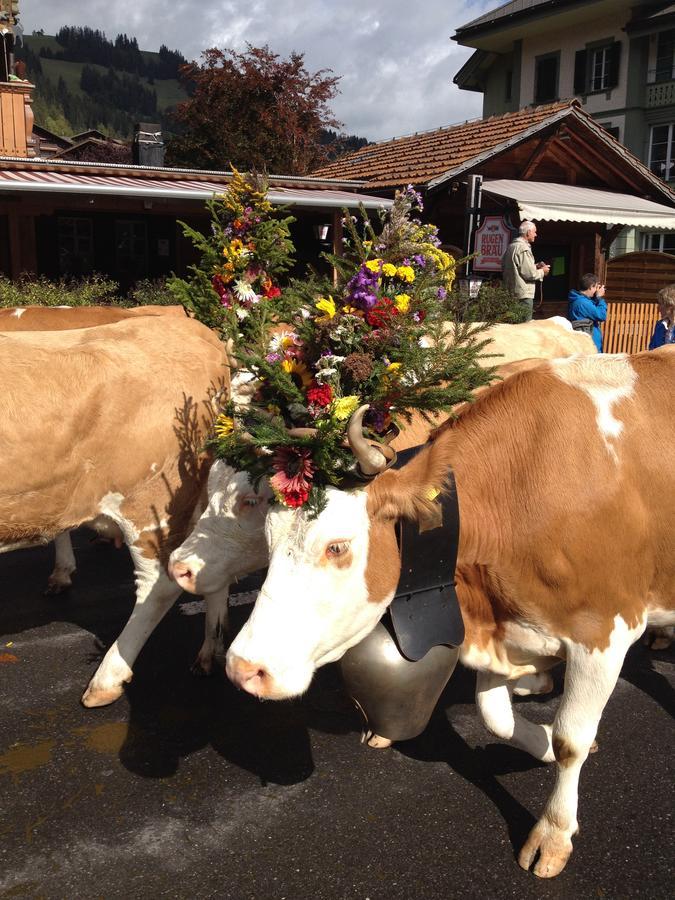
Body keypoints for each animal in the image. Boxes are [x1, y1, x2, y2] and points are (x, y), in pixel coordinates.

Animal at [227, 350, 675, 880]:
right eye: (269, 538)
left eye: (337, 546)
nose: (243, 668)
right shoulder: (506, 627)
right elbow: (496, 717)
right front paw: (541, 740)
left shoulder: (603, 630)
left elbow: (573, 740)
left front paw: (553, 832)